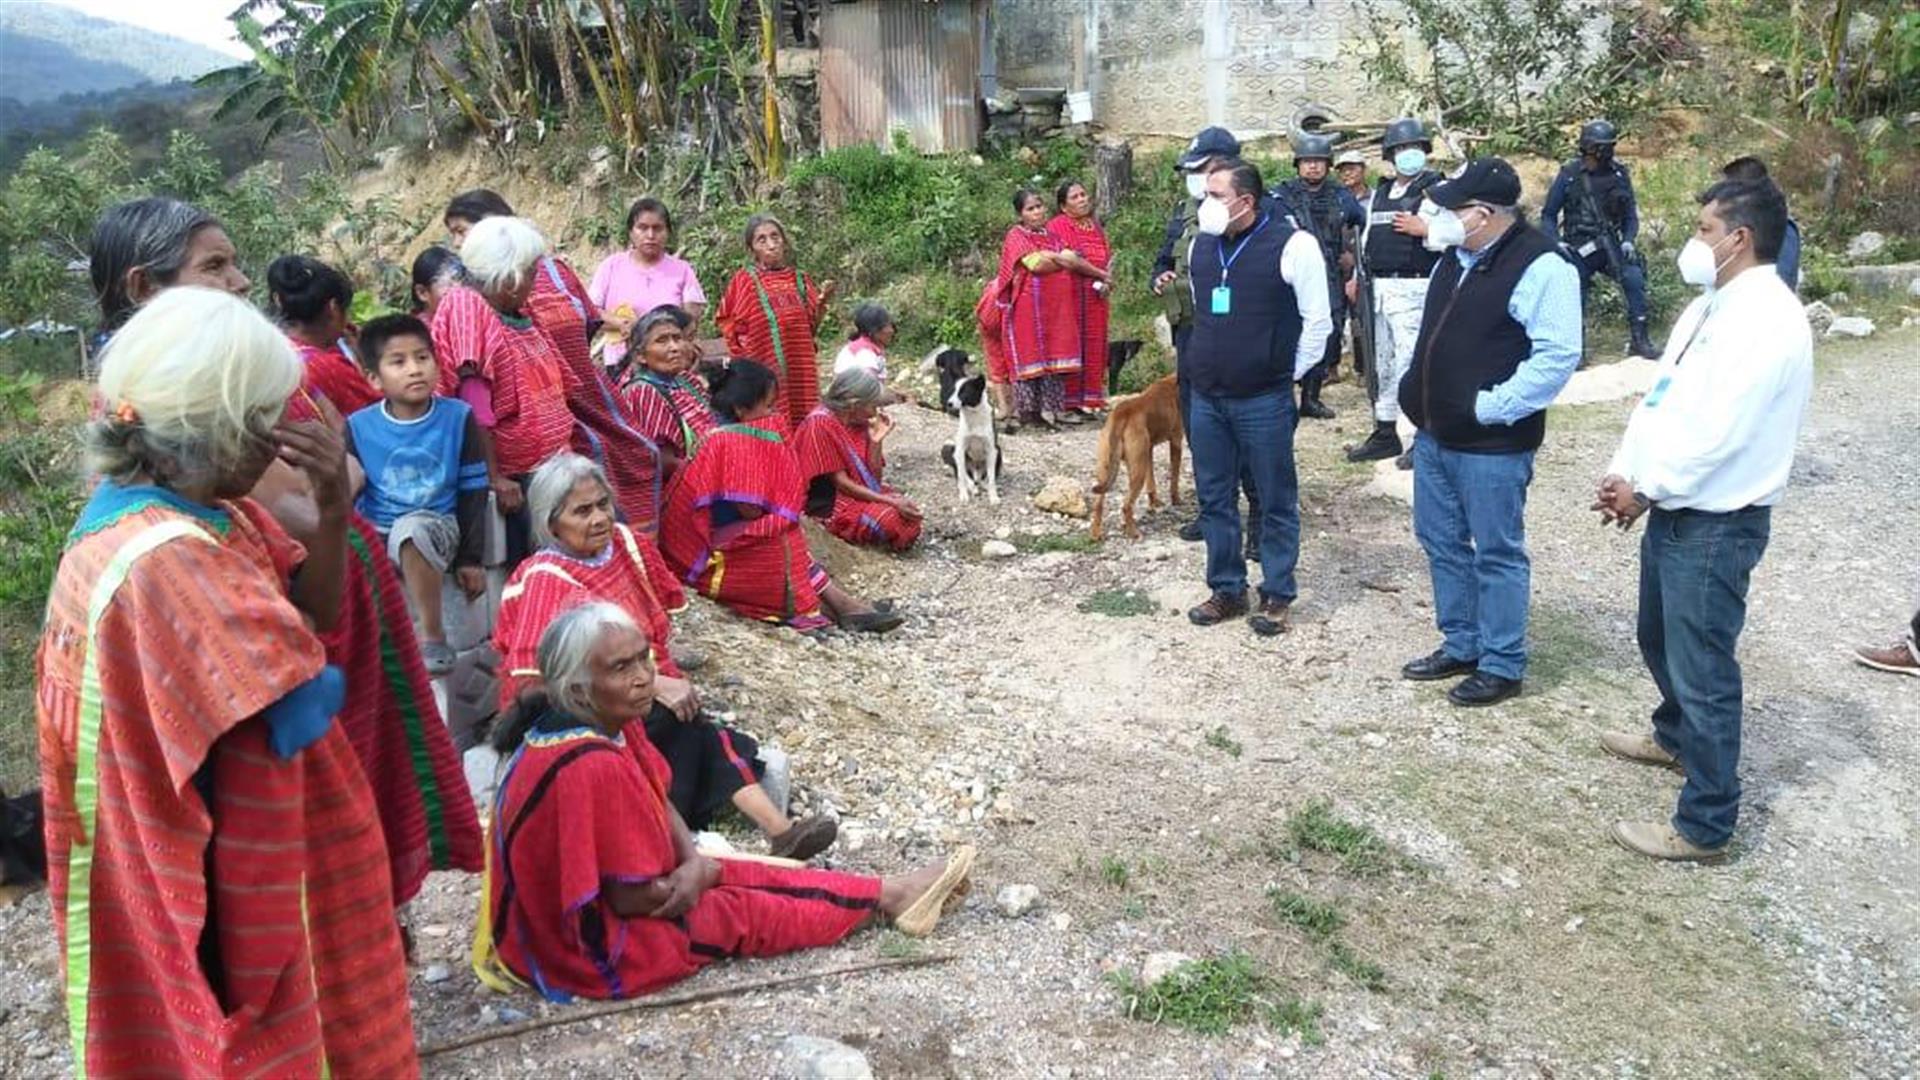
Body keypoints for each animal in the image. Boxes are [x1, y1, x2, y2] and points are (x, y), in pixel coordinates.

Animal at [1090, 372, 1175, 538]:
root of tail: (1121, 414)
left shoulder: (1148, 450)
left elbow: (1151, 482)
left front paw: (1154, 503)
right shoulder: (1177, 441)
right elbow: (1175, 478)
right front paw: (1177, 501)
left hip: (1106, 467)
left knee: (1098, 503)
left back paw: (1096, 533)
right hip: (1137, 471)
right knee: (1126, 505)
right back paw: (1133, 532)